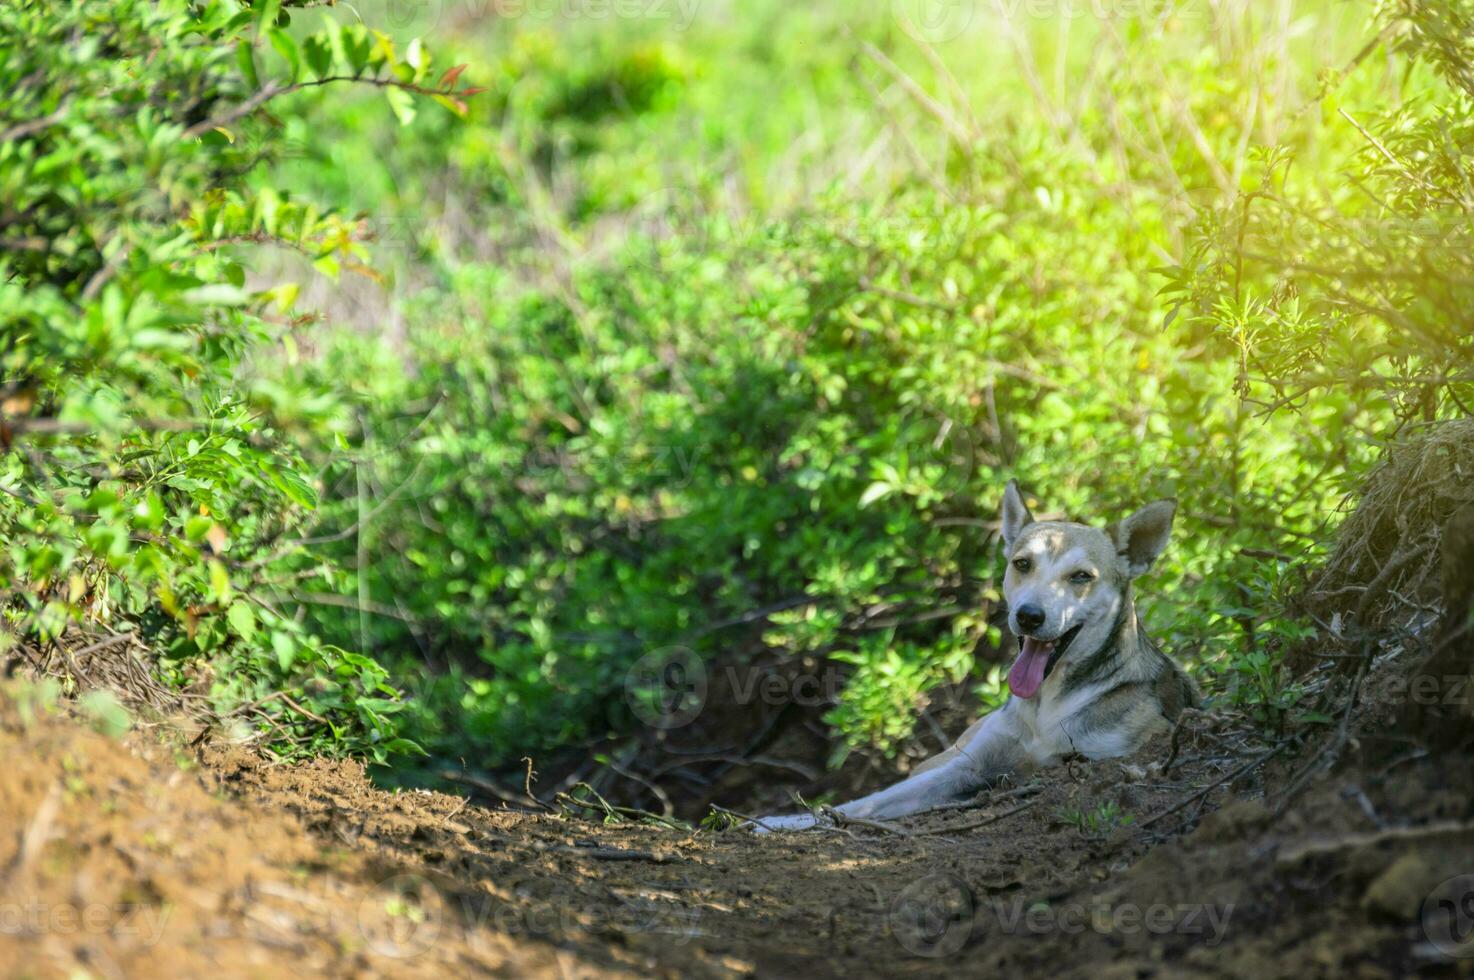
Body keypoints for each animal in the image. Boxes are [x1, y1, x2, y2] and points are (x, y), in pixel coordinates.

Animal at [760, 477, 1196, 831]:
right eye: (1022, 564)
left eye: (1081, 577)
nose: (1029, 616)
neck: (1046, 705)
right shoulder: (969, 764)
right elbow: (865, 802)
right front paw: (782, 822)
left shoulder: (1092, 756)